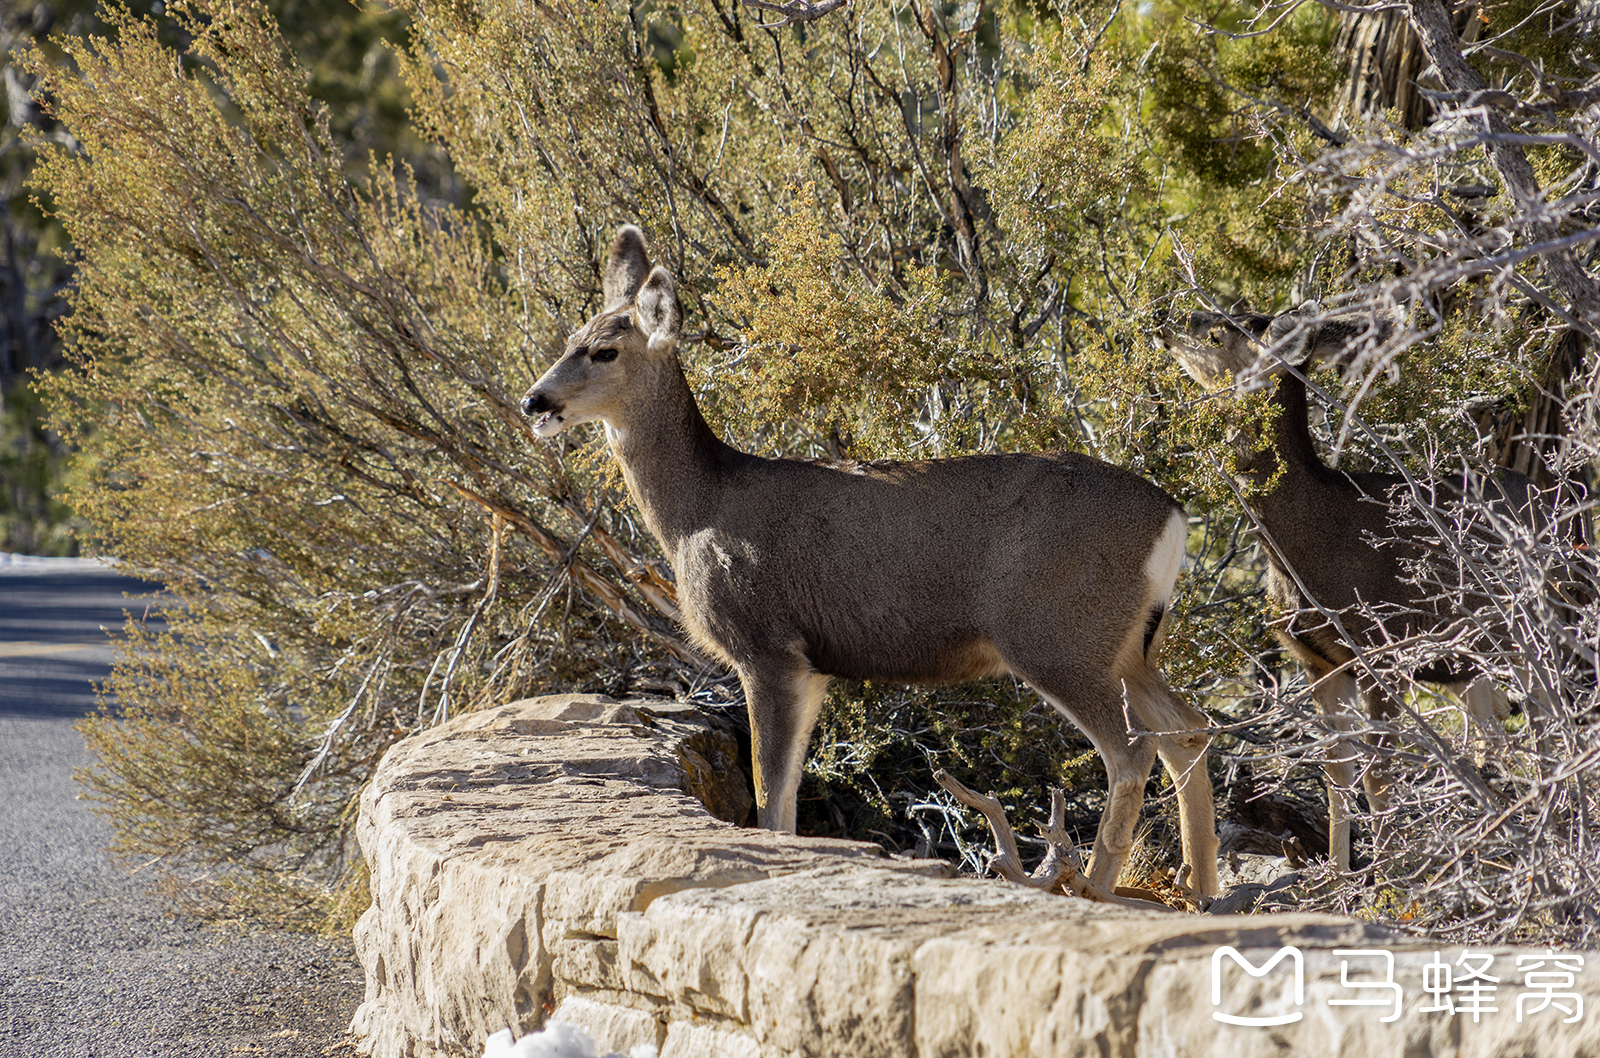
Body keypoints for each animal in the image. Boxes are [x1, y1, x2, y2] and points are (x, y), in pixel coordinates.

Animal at [518, 227, 1216, 896]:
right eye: (570, 338)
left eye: (605, 351)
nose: (534, 402)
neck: (699, 507)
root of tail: (1173, 518)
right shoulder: (815, 664)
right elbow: (786, 797)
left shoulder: (767, 645)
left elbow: (770, 796)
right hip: (1128, 643)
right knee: (1187, 730)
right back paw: (1202, 890)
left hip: (1057, 635)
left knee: (1132, 752)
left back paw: (1097, 887)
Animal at [1158, 302, 1542, 864]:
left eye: (1218, 332)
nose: (1164, 318)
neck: (1303, 547)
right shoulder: (1318, 660)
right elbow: (1336, 772)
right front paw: (1339, 873)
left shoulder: (1384, 653)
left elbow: (1379, 777)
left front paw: (1391, 875)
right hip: (1469, 663)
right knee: (1495, 737)